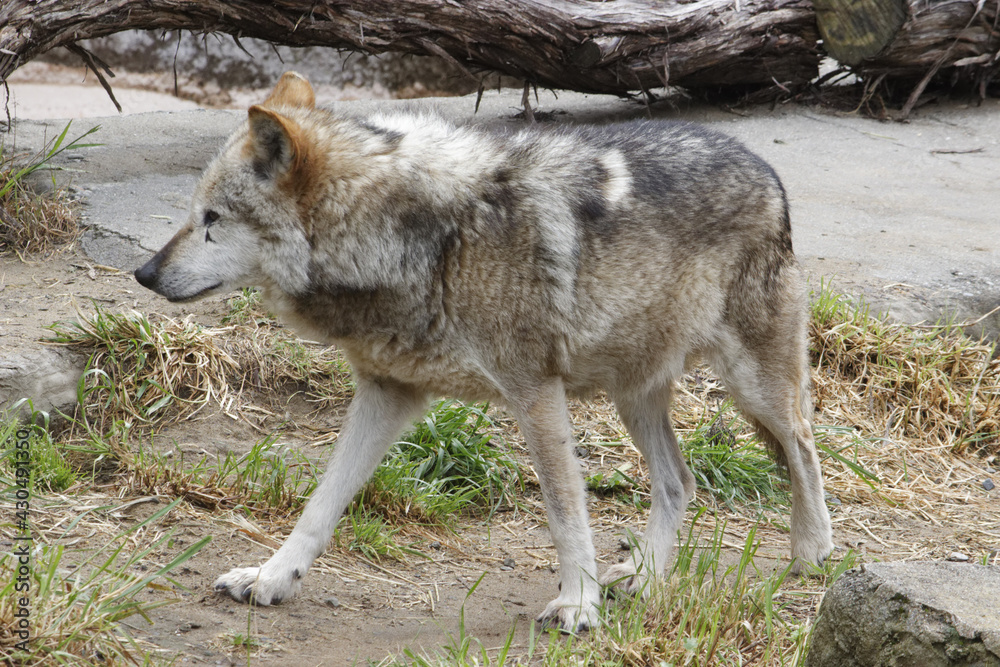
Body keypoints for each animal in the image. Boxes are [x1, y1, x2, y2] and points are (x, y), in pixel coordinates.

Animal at [134, 71, 833, 632]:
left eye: (213, 219)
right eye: (194, 213)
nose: (143, 273)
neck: (417, 239)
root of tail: (766, 171)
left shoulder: (534, 391)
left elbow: (564, 511)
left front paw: (577, 606)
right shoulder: (387, 392)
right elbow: (321, 503)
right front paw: (272, 578)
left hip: (752, 387)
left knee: (802, 446)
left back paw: (812, 557)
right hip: (633, 396)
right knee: (680, 480)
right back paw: (644, 577)